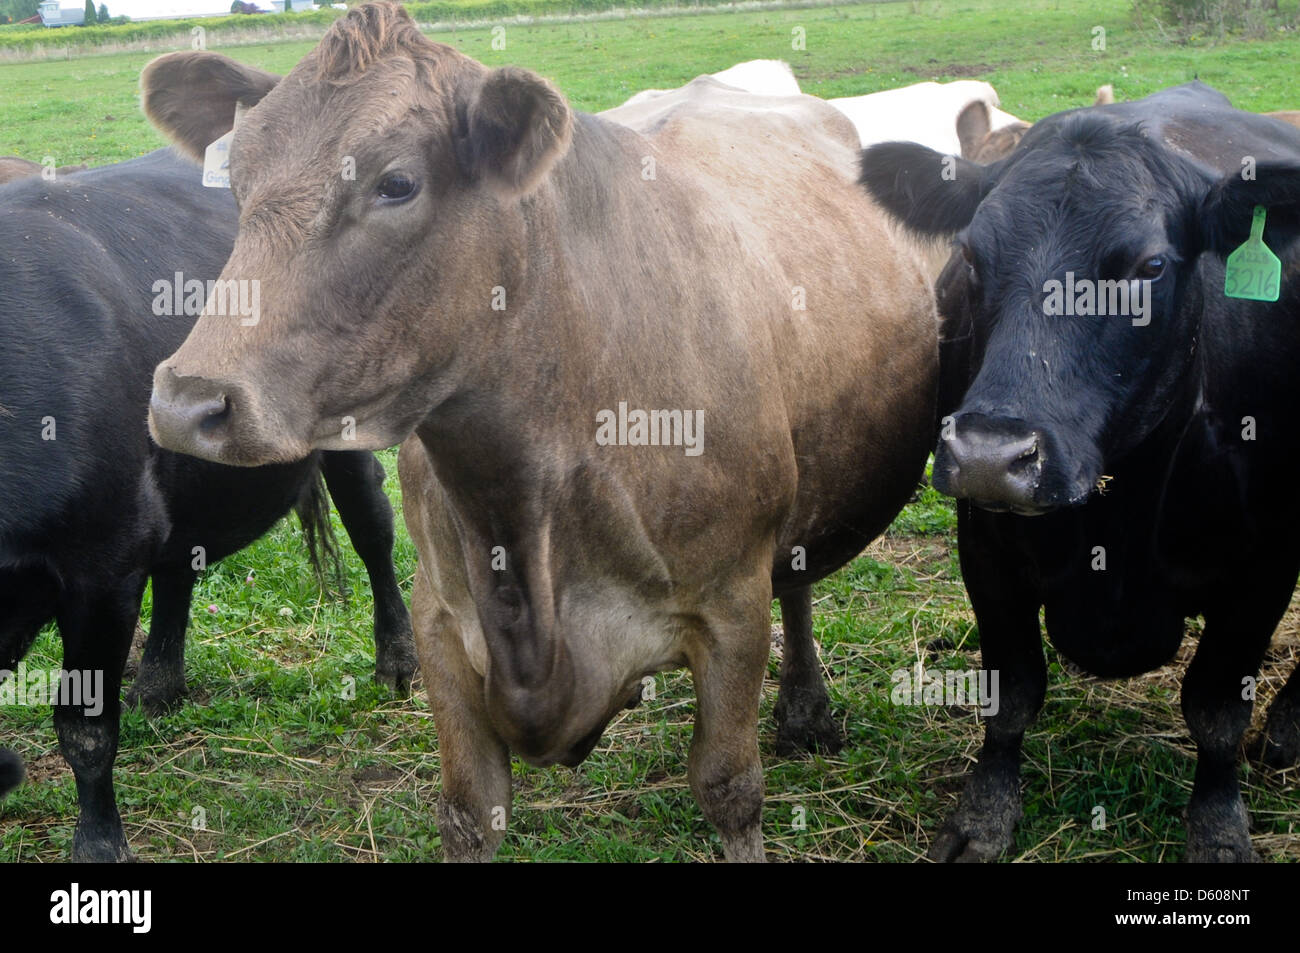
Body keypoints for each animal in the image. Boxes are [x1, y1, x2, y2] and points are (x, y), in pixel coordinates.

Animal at [0, 149, 418, 861]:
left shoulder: (104, 560)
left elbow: (86, 730)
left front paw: (99, 844)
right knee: (179, 570)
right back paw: (158, 687)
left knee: (373, 530)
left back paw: (396, 660)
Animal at [139, 1, 938, 861]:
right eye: (237, 181)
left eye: (397, 183)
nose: (186, 401)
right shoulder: (441, 618)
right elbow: (468, 807)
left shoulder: (730, 605)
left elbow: (730, 788)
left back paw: (807, 707)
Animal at [859, 80, 1300, 861]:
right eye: (971, 255)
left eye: (1150, 268)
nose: (990, 457)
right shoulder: (986, 549)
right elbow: (1011, 694)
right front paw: (983, 815)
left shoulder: (1264, 569)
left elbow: (1217, 713)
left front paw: (1219, 829)